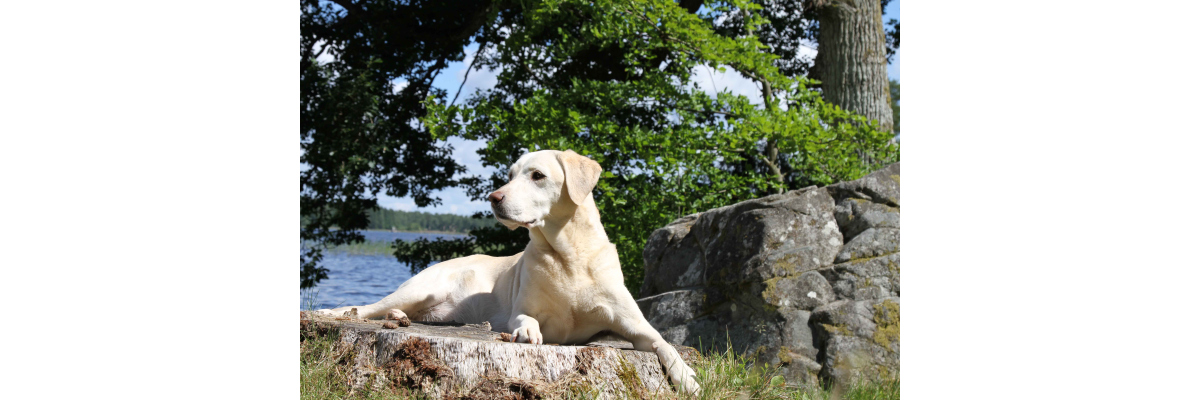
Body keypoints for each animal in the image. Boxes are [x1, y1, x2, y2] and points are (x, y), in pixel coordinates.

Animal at [319, 148, 700, 391]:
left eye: (538, 176)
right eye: (510, 175)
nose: (494, 197)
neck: (569, 256)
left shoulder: (632, 323)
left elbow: (663, 342)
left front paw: (686, 377)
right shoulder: (523, 308)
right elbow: (526, 320)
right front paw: (528, 333)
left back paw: (398, 319)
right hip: (422, 287)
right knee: (365, 308)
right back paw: (343, 313)